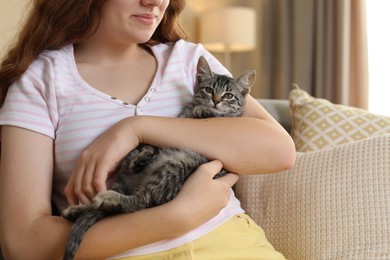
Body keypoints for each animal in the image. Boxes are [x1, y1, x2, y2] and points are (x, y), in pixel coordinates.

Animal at [61, 55, 256, 258]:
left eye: (228, 95)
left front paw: (206, 111)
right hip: (128, 177)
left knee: (141, 203)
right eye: (209, 90)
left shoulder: (232, 121)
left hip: (173, 165)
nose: (216, 101)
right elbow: (154, 143)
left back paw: (107, 199)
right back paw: (80, 208)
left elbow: (223, 116)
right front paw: (143, 155)